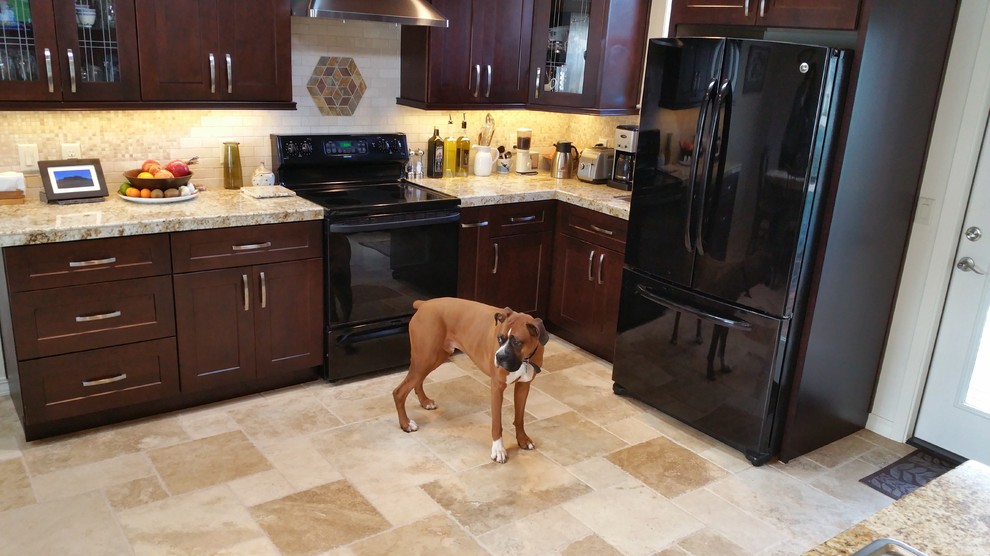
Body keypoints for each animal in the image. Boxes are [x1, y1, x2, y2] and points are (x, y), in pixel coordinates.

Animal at [394, 298, 552, 462]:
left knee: (417, 381)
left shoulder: (523, 386)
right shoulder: (497, 388)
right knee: (399, 392)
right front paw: (498, 450)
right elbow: (497, 423)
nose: (499, 357)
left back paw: (425, 402)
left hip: (433, 358)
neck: (525, 360)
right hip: (426, 358)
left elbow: (520, 417)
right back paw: (406, 424)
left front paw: (523, 440)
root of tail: (424, 304)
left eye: (517, 342)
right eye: (499, 338)